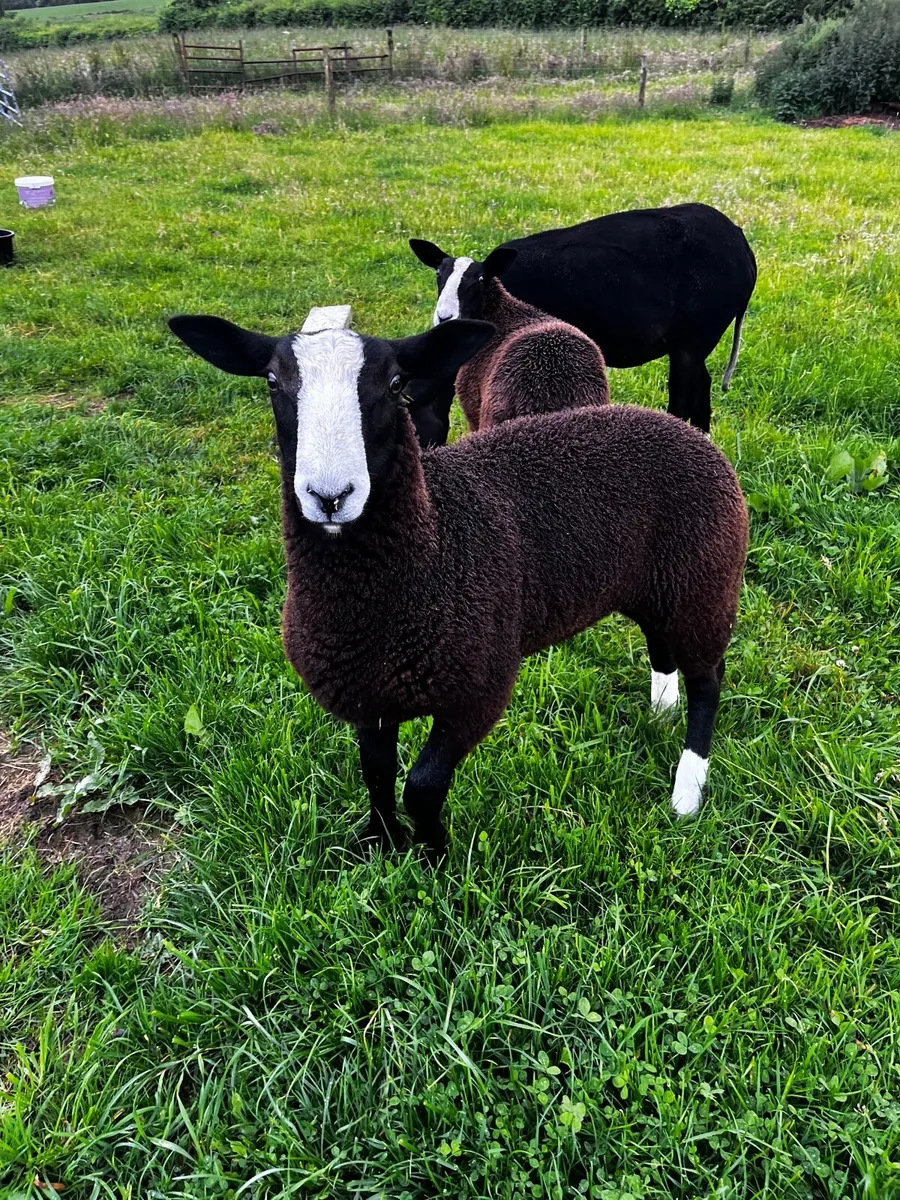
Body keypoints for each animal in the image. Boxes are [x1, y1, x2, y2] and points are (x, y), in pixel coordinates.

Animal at [168, 312, 749, 861]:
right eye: (271, 380)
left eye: (396, 383)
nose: (330, 497)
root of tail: (680, 427)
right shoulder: (369, 691)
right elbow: (375, 772)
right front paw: (381, 844)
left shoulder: (475, 692)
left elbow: (422, 787)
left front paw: (435, 862)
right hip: (663, 584)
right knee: (661, 646)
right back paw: (660, 715)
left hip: (707, 579)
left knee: (707, 679)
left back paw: (686, 792)